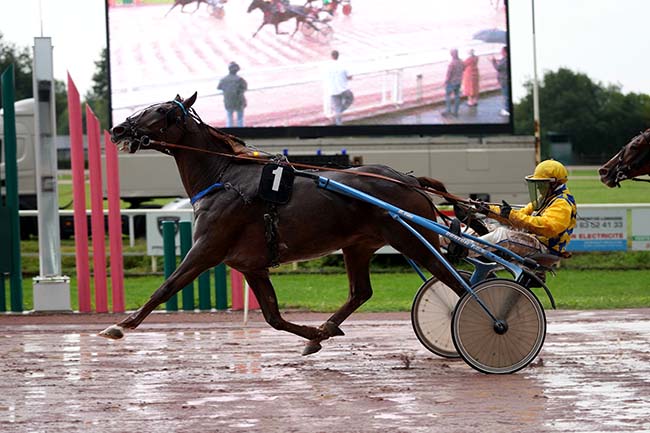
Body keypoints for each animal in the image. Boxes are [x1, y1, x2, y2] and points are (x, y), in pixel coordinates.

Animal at [101, 93, 464, 352]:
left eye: (162, 111)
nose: (118, 129)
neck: (224, 177)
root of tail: (409, 179)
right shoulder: (251, 265)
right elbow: (273, 316)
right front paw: (314, 334)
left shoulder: (207, 249)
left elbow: (166, 287)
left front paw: (122, 324)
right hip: (358, 246)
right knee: (361, 292)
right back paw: (325, 328)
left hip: (412, 239)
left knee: (452, 279)